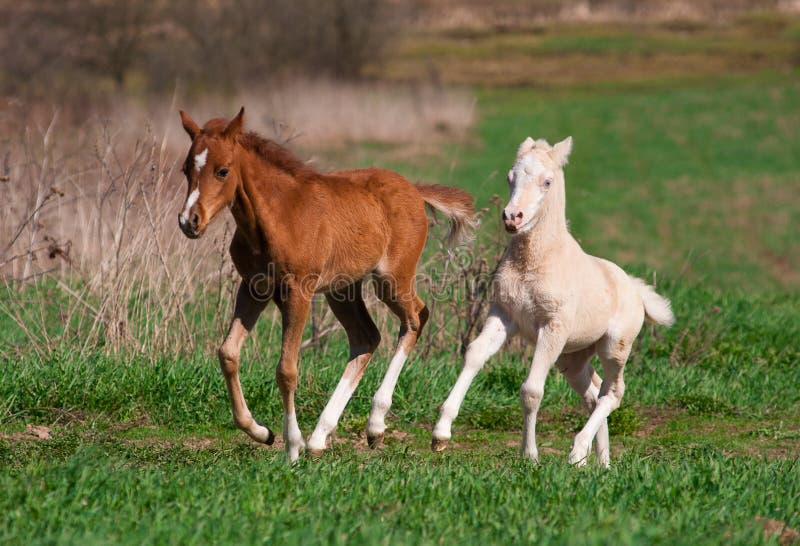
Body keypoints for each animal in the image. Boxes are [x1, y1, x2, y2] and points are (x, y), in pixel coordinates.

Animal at [177, 108, 476, 462]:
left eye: (222, 170)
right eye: (186, 169)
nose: (189, 221)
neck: (276, 217)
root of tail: (415, 190)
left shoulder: (298, 292)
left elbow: (286, 369)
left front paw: (291, 448)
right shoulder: (254, 287)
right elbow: (227, 352)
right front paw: (262, 432)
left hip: (391, 278)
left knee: (416, 317)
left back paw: (382, 426)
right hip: (342, 289)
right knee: (366, 337)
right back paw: (321, 436)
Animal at [434, 135, 672, 464]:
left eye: (547, 181)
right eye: (510, 177)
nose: (512, 217)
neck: (534, 263)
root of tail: (636, 291)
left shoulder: (552, 327)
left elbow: (531, 390)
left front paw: (530, 455)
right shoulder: (503, 315)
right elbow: (474, 354)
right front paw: (441, 433)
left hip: (614, 347)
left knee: (613, 393)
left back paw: (578, 452)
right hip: (572, 358)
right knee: (594, 393)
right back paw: (599, 462)